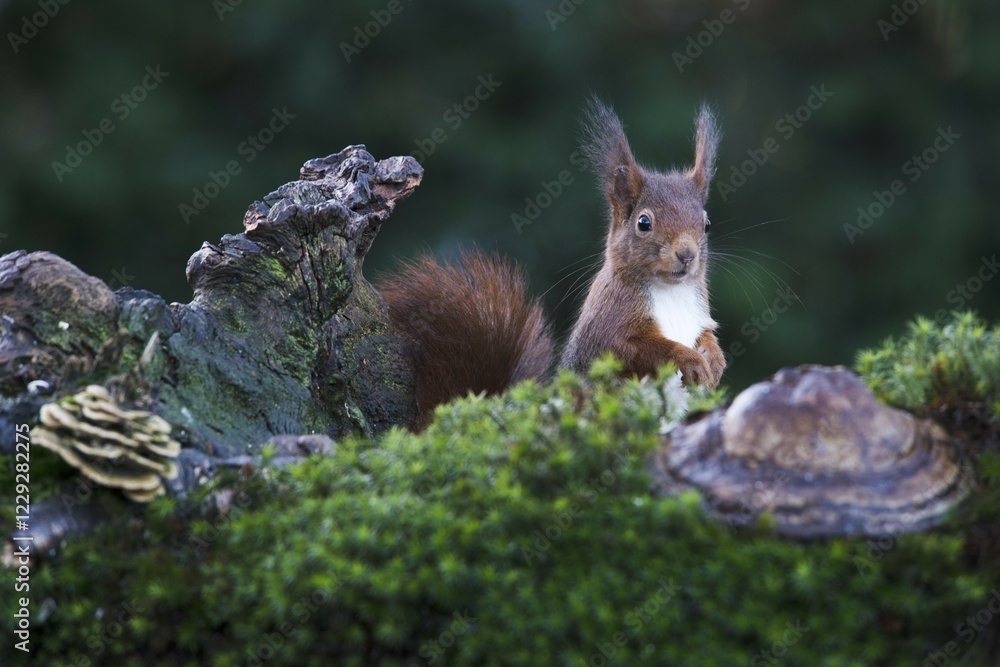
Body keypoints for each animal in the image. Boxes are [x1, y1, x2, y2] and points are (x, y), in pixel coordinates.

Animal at [378, 98, 724, 429]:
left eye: (707, 224)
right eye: (643, 223)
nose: (687, 254)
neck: (670, 290)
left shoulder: (700, 311)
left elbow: (707, 336)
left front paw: (715, 362)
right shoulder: (610, 322)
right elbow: (632, 348)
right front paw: (690, 360)